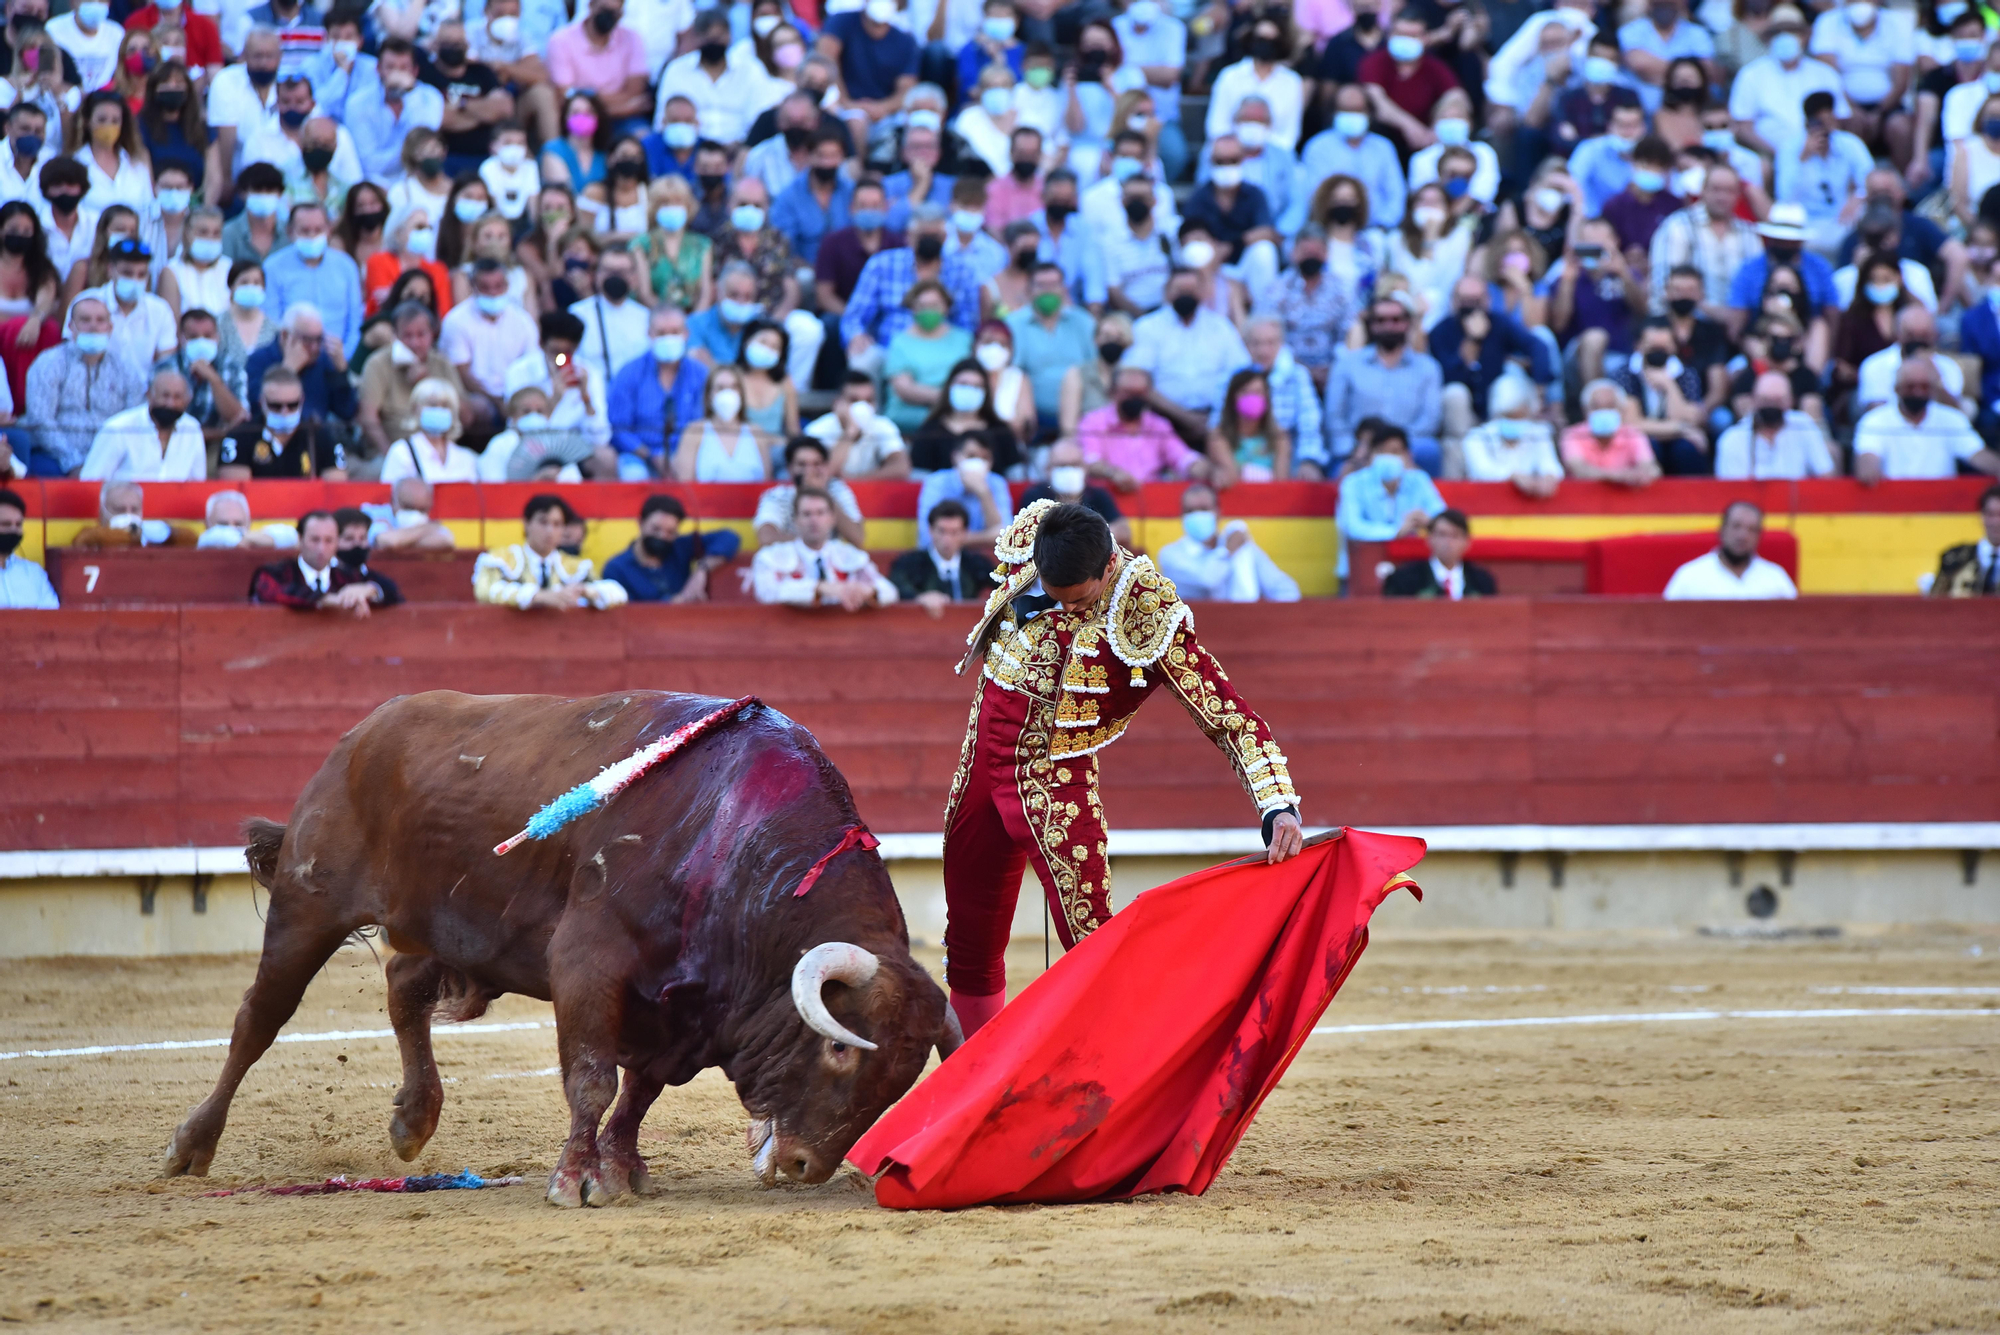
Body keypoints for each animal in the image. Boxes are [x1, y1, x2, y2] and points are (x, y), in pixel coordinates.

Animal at [160, 695, 956, 1207]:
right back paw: (190, 1145)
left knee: (403, 985)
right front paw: (577, 1181)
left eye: (900, 1078)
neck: (732, 844)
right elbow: (593, 1079)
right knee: (260, 1018)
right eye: (841, 1049)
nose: (802, 1163)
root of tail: (358, 734)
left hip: (441, 923)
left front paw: (625, 1169)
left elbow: (640, 1092)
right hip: (310, 900)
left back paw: (413, 1120)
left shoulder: (683, 1014)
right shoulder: (587, 962)